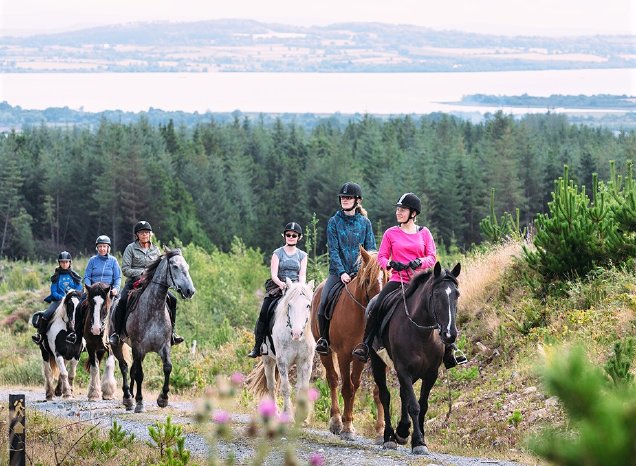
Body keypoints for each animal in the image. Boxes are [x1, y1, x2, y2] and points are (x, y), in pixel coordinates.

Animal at [109, 249, 195, 414]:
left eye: (187, 266)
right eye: (175, 266)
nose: (190, 291)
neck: (154, 309)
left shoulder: (164, 346)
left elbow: (167, 367)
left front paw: (163, 398)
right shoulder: (138, 347)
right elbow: (140, 375)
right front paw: (140, 403)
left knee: (132, 369)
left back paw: (131, 396)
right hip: (118, 345)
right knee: (124, 367)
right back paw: (128, 399)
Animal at [250, 278, 316, 420]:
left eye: (308, 306)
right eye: (289, 305)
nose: (296, 333)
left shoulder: (305, 362)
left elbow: (302, 388)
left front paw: (302, 416)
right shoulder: (282, 362)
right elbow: (286, 388)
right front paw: (288, 415)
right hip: (268, 360)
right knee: (271, 385)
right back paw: (274, 413)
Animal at [310, 248, 388, 440]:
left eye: (387, 278)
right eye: (367, 280)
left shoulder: (363, 355)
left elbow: (363, 387)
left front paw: (376, 430)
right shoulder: (344, 355)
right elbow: (346, 388)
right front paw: (346, 428)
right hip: (326, 351)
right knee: (333, 380)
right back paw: (336, 421)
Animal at [370, 262, 460, 456]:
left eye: (457, 294)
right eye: (436, 294)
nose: (450, 334)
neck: (421, 333)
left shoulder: (431, 373)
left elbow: (422, 405)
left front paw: (417, 437)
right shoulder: (403, 369)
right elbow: (414, 406)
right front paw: (418, 441)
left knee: (403, 393)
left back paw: (402, 431)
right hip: (377, 363)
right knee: (385, 396)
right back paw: (389, 437)